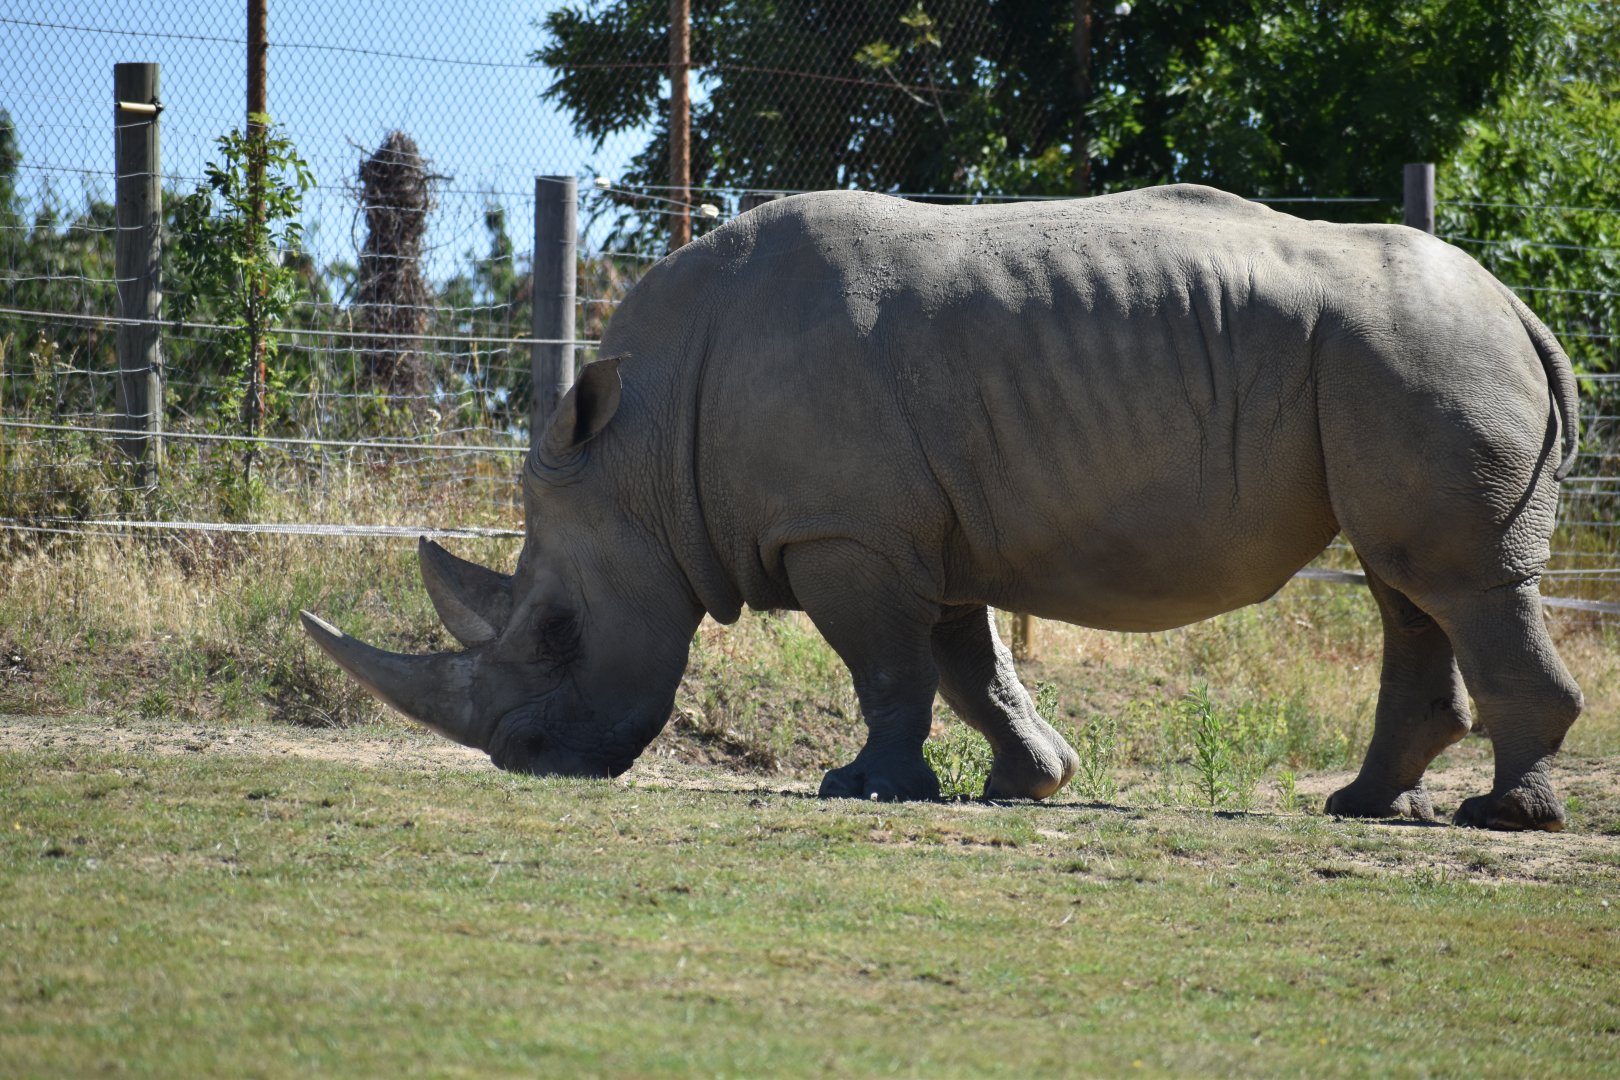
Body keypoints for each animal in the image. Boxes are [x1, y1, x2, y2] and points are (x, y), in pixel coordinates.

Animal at [302, 185, 1583, 831]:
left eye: (559, 634)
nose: (523, 762)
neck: (643, 452)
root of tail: (1520, 308)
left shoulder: (845, 532)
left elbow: (886, 666)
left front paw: (865, 789)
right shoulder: (927, 528)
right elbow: (971, 667)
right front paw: (1031, 783)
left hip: (1421, 355)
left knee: (1449, 579)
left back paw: (1504, 820)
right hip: (1398, 363)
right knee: (1405, 583)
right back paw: (1365, 809)